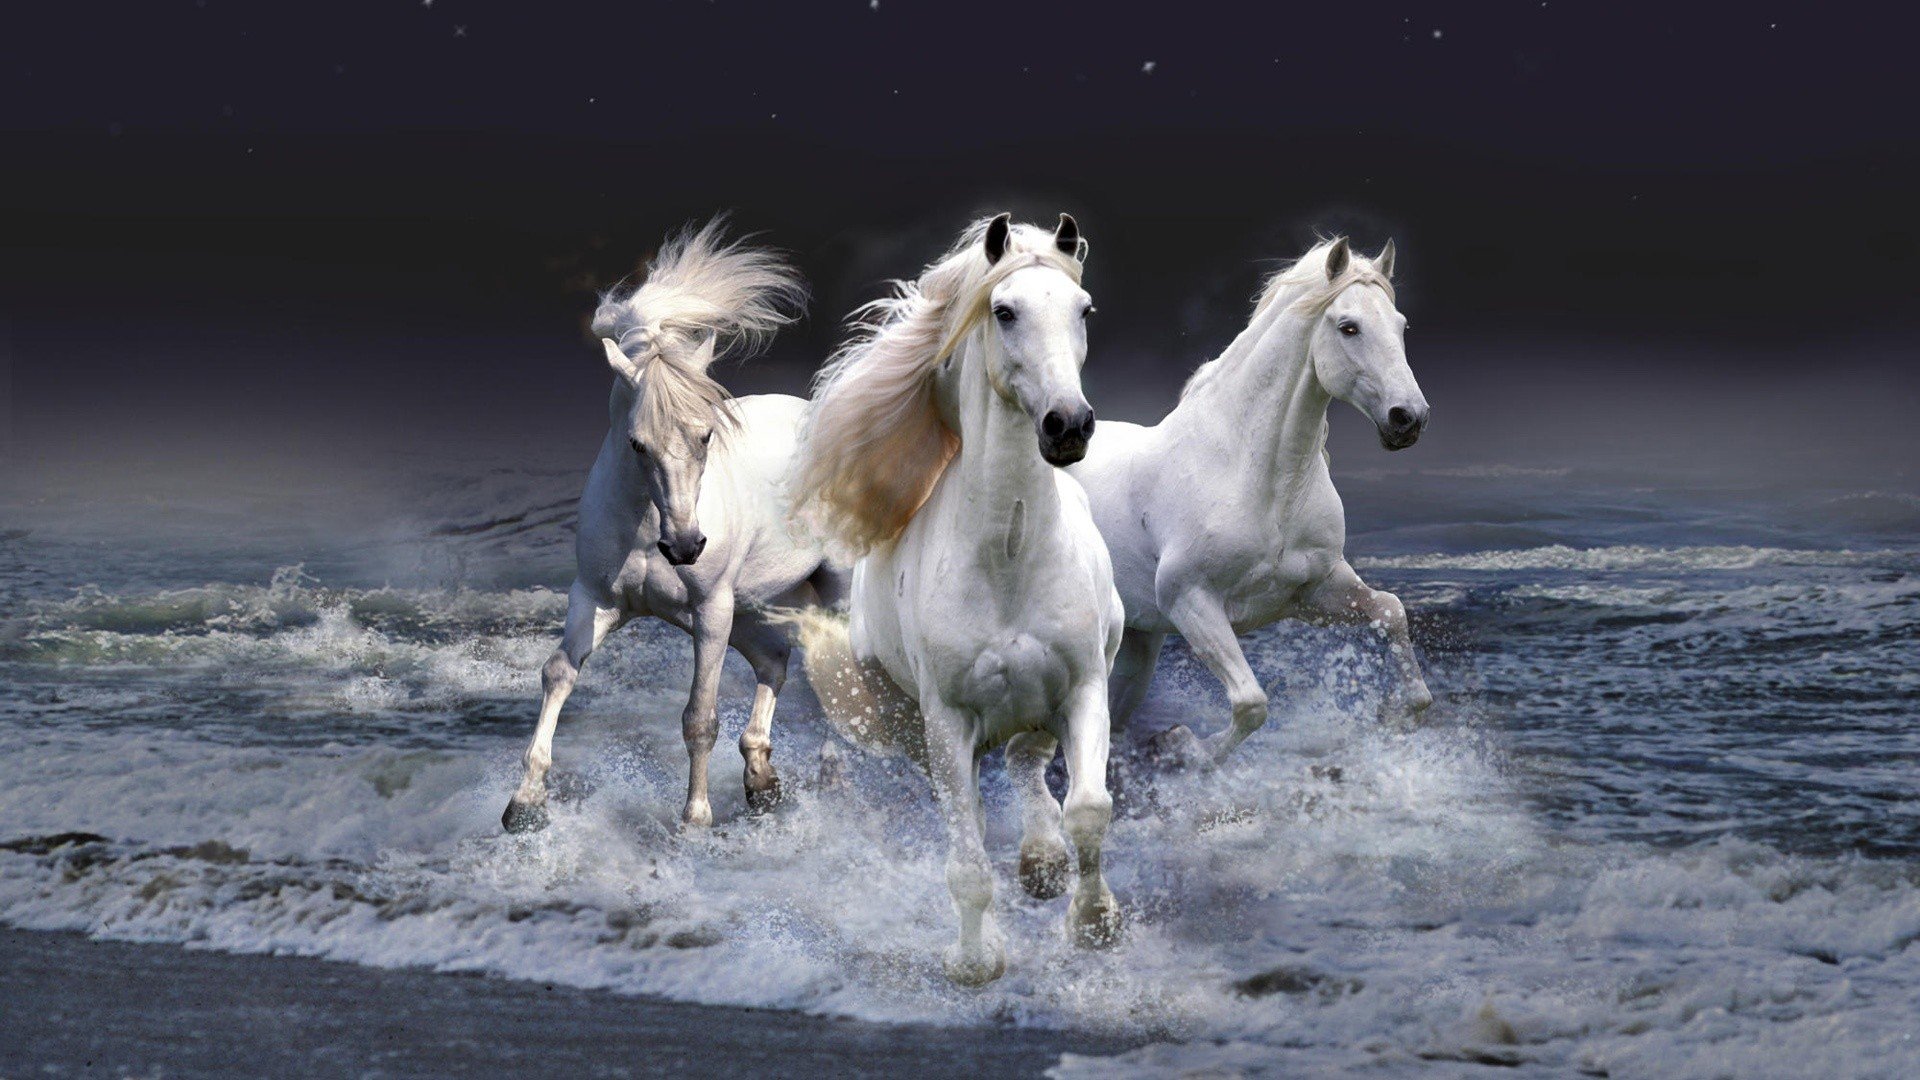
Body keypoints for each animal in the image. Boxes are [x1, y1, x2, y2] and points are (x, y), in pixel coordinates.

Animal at [502, 219, 849, 833]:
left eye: (706, 434)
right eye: (637, 443)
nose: (685, 546)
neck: (646, 529)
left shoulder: (710, 611)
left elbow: (699, 717)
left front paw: (695, 821)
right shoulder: (595, 599)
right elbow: (558, 673)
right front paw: (524, 802)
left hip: (825, 593)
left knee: (834, 673)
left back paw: (828, 775)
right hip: (753, 607)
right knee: (776, 662)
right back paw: (761, 781)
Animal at [785, 214, 1125, 986]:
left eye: (1085, 310)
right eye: (1004, 311)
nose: (1069, 425)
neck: (1010, 557)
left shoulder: (1084, 686)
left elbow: (1089, 809)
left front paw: (1094, 923)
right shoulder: (947, 721)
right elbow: (967, 861)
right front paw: (975, 962)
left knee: (1028, 763)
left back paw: (1042, 862)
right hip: (912, 723)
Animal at [1067, 237, 1433, 764]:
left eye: (1401, 325)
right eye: (1349, 327)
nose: (1409, 418)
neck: (1257, 479)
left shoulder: (1312, 592)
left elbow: (1391, 612)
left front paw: (1393, 717)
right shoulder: (1190, 601)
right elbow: (1251, 703)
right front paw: (1183, 747)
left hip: (1136, 644)